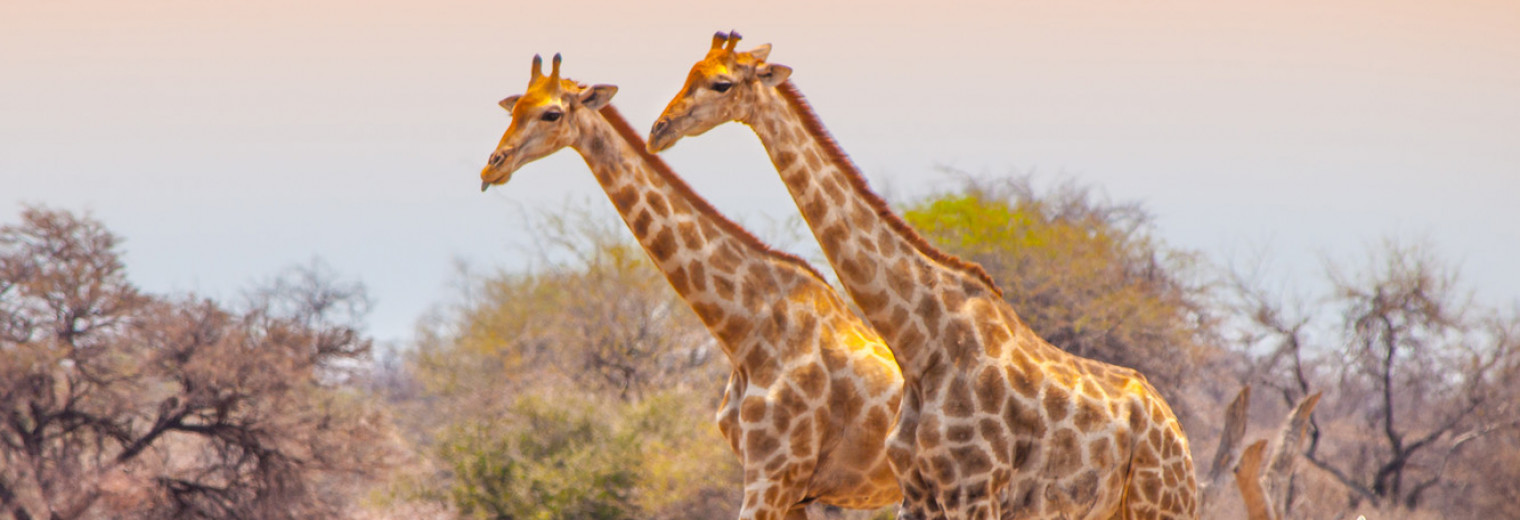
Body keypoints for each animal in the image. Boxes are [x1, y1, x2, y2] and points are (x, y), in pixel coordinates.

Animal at [477, 52, 899, 520]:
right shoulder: (779, 483)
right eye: (514, 110)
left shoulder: (775, 475)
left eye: (551, 113)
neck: (744, 331)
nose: (492, 166)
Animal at [650, 33, 1197, 520]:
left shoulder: (974, 491)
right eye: (689, 72)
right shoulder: (917, 493)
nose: (659, 129)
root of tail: (1178, 432)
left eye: (721, 83)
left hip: (1159, 505)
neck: (921, 341)